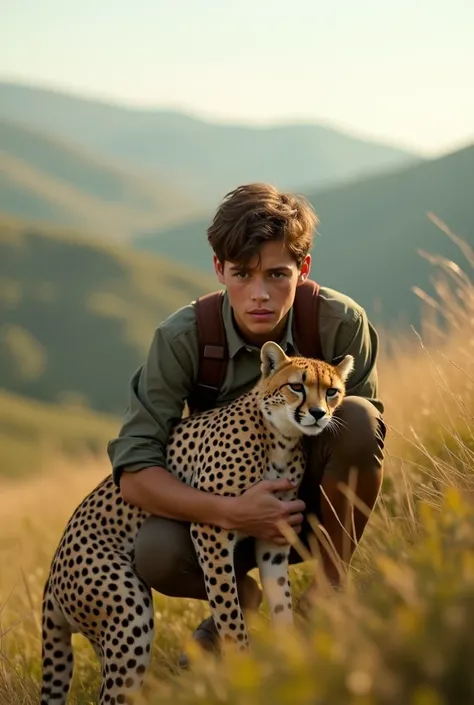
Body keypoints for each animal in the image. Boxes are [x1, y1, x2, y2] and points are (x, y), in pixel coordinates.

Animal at [40, 340, 352, 700]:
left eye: (331, 392)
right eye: (297, 387)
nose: (318, 414)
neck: (280, 438)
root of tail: (52, 573)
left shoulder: (273, 535)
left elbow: (280, 600)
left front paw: (290, 653)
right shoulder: (212, 529)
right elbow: (227, 608)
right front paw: (244, 667)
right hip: (127, 615)